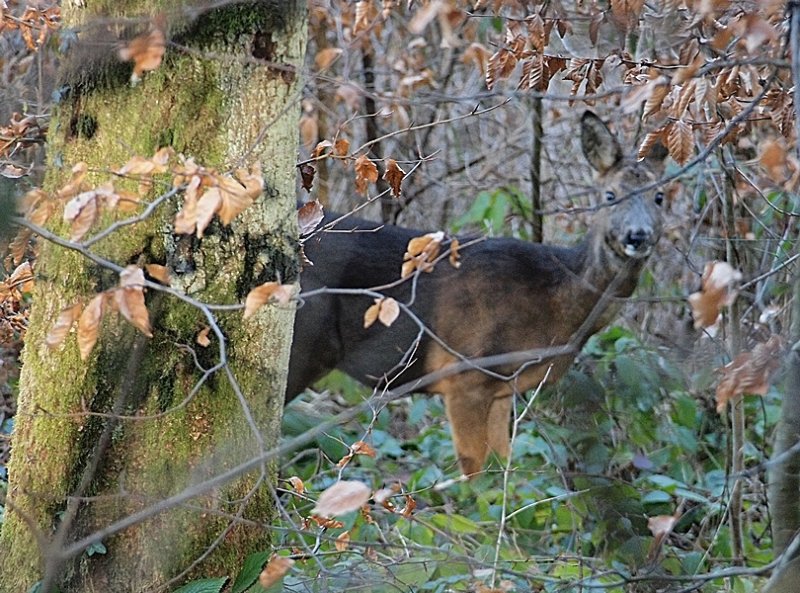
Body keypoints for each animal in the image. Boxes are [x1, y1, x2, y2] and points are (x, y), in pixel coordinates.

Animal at [286, 112, 664, 476]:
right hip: (303, 343)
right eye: (610, 195)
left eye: (660, 196)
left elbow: (504, 466)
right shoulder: (465, 375)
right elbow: (475, 474)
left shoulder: (501, 388)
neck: (557, 303)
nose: (637, 236)